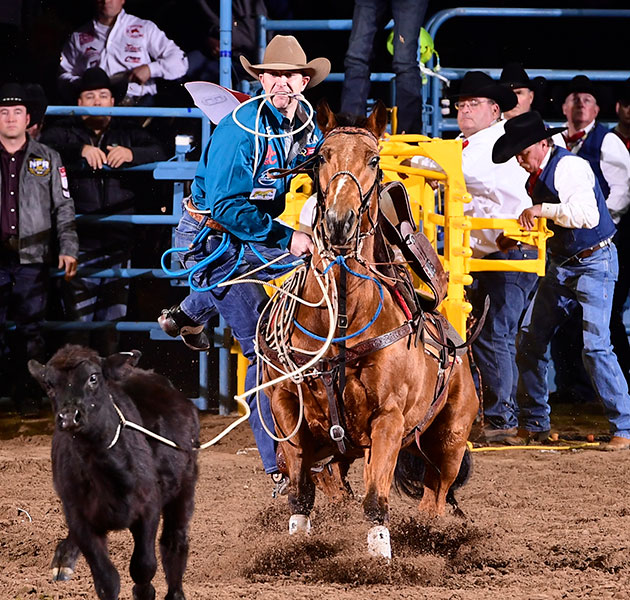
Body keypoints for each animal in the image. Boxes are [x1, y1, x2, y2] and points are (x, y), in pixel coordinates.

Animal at [27, 344, 198, 600]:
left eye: (93, 377)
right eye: (49, 384)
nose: (69, 417)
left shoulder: (149, 509)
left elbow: (143, 567)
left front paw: (144, 591)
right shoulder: (78, 516)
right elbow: (107, 579)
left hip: (185, 487)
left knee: (174, 541)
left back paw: (175, 592)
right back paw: (63, 561)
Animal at [262, 99, 478, 556]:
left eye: (374, 159)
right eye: (321, 157)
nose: (340, 222)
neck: (343, 319)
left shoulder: (388, 421)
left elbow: (376, 500)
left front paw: (379, 556)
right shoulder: (288, 411)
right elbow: (300, 496)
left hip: (449, 443)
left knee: (434, 499)